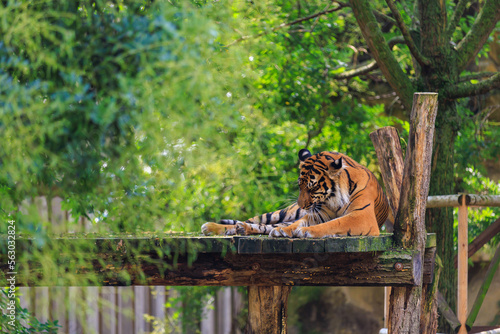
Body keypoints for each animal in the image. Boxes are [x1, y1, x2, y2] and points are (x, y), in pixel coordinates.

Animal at [201, 149, 392, 237]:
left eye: (312, 187)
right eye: (300, 186)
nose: (302, 205)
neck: (333, 199)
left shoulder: (361, 217)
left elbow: (334, 223)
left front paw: (306, 232)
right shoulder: (317, 214)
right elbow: (299, 223)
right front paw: (287, 231)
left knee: (261, 227)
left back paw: (241, 229)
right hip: (280, 213)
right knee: (256, 222)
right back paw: (213, 227)